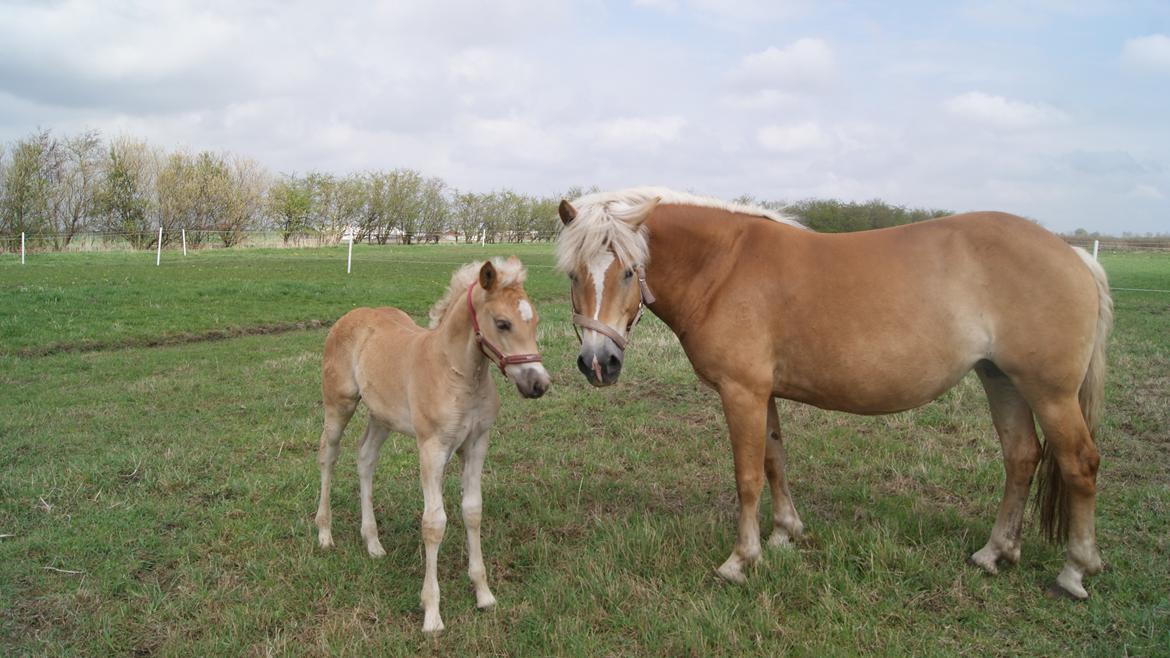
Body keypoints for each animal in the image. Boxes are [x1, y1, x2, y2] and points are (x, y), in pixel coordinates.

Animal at [315, 256, 552, 632]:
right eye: (502, 323)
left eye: (535, 321)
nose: (538, 384)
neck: (457, 373)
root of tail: (350, 316)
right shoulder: (432, 448)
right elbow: (434, 523)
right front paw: (432, 613)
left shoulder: (477, 444)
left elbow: (472, 511)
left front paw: (484, 594)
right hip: (339, 404)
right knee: (328, 454)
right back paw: (325, 534)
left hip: (382, 416)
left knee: (365, 458)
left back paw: (373, 543)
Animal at [556, 187, 1113, 597]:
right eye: (573, 274)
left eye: (630, 272)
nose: (598, 363)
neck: (724, 266)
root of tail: (1073, 255)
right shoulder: (764, 392)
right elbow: (775, 461)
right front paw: (785, 533)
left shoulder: (741, 392)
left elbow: (747, 477)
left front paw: (741, 559)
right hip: (1001, 380)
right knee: (1021, 457)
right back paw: (995, 554)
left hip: (1049, 392)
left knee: (1079, 463)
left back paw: (1075, 570)